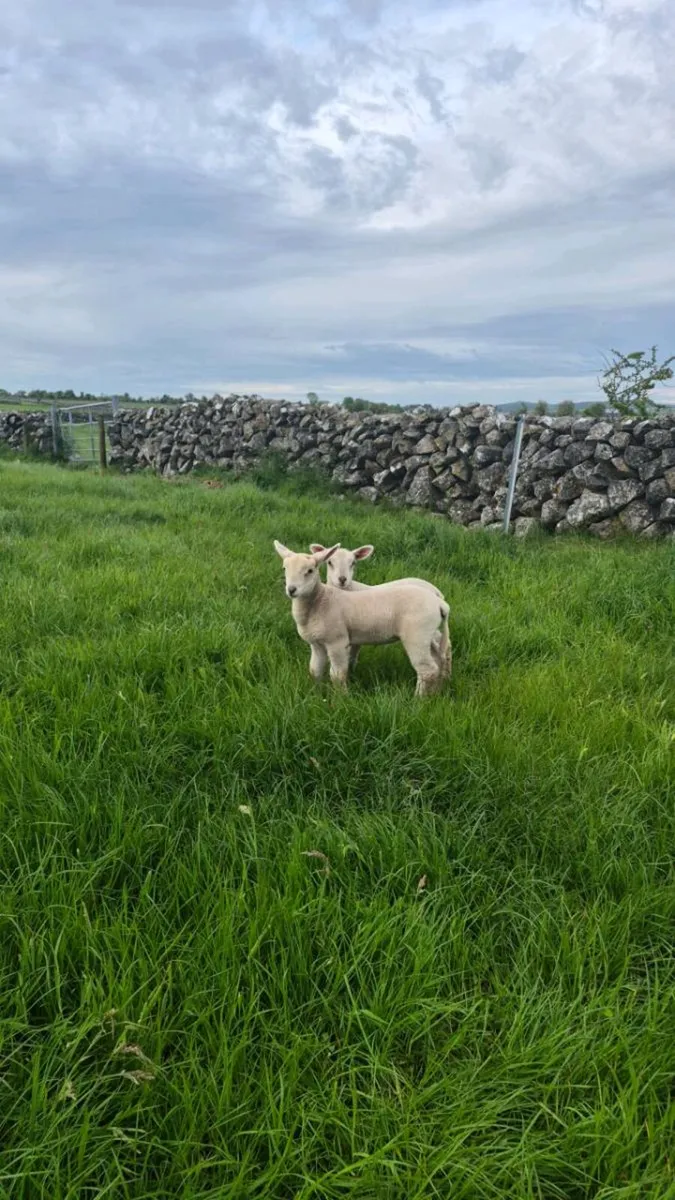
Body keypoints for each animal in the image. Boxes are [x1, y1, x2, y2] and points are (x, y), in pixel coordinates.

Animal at [274, 540, 450, 696]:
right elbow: (315, 671)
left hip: (417, 634)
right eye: (284, 568)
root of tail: (439, 602)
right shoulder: (317, 644)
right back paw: (436, 692)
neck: (320, 601)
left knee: (427, 670)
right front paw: (315, 694)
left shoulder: (337, 641)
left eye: (310, 571)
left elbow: (338, 675)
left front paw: (342, 699)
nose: (291, 590)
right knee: (438, 661)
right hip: (427, 635)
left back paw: (418, 700)